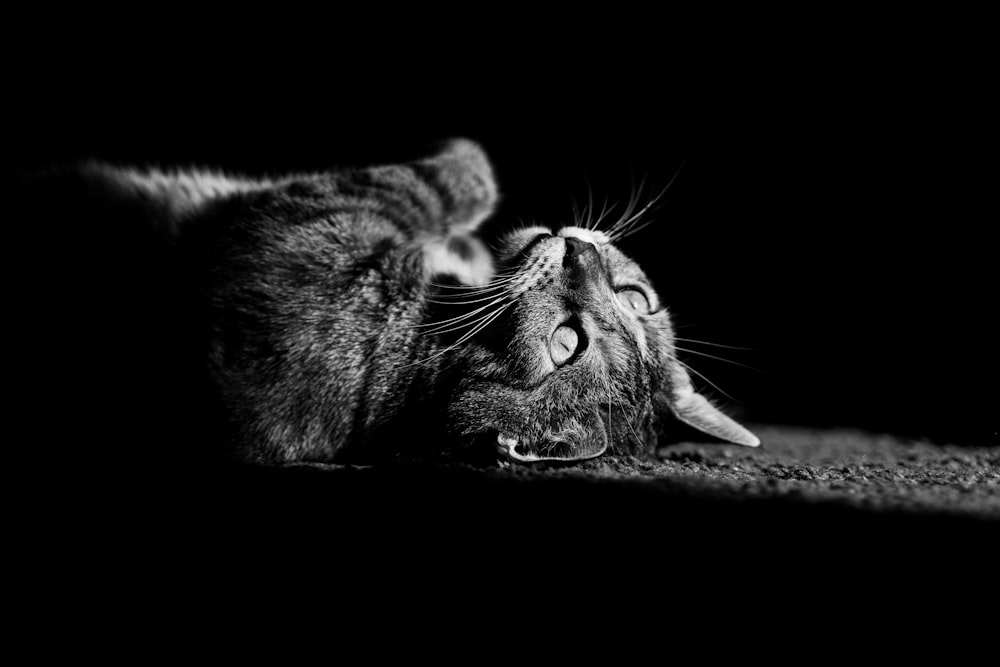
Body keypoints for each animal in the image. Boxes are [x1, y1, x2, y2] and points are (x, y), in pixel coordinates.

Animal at [25, 138, 756, 468]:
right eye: (638, 297)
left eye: (565, 344)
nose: (580, 252)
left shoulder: (300, 237)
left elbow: (439, 180)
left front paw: (463, 163)